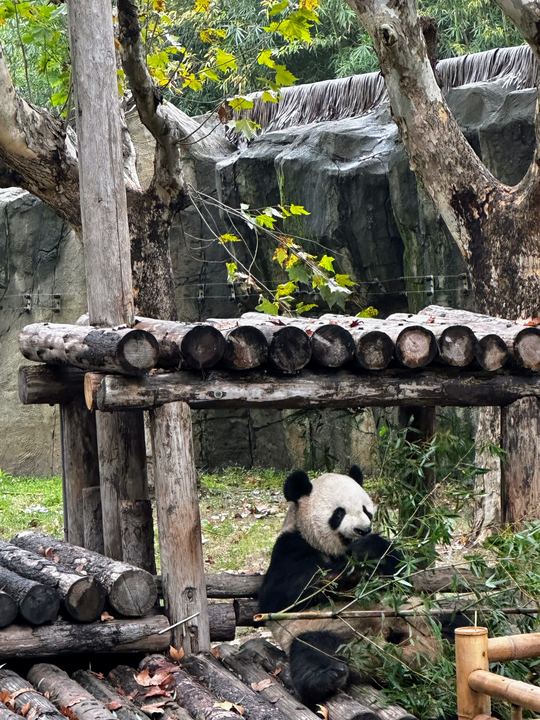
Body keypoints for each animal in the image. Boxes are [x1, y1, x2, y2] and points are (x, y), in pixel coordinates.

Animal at [258, 465, 439, 707]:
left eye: (366, 510)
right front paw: (348, 573)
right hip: (321, 629)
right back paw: (327, 678)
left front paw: (368, 552)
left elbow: (402, 572)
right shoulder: (289, 547)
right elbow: (278, 596)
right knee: (312, 650)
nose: (363, 530)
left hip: (421, 615)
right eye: (339, 513)